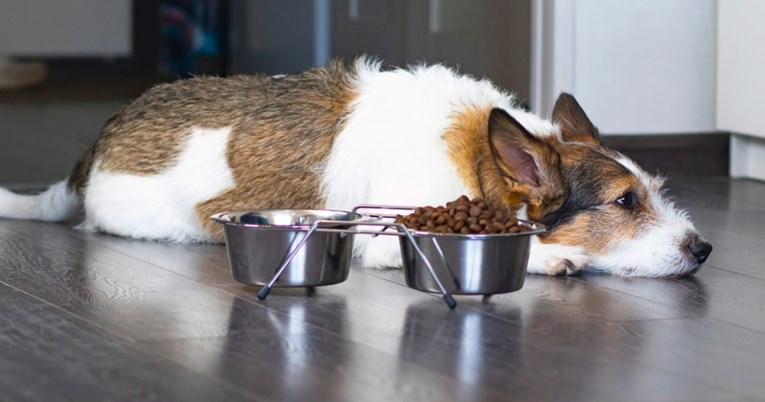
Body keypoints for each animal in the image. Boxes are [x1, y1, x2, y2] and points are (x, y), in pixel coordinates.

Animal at [0, 56, 712, 276]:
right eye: (625, 202)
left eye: (653, 191)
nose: (702, 249)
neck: (478, 160)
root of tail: (95, 149)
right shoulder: (386, 236)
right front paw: (548, 256)